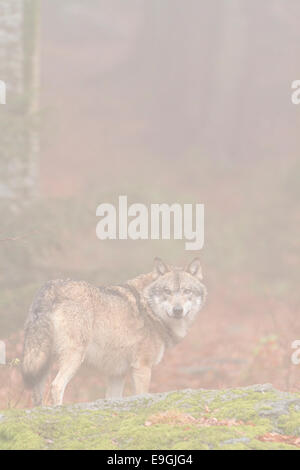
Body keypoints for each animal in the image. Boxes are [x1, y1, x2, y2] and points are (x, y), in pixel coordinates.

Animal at [22, 258, 207, 406]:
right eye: (167, 291)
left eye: (187, 291)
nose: (178, 310)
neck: (151, 310)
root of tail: (50, 287)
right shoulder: (142, 367)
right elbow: (142, 394)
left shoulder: (116, 373)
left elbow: (113, 398)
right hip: (73, 357)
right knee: (56, 386)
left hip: (42, 363)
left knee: (37, 393)